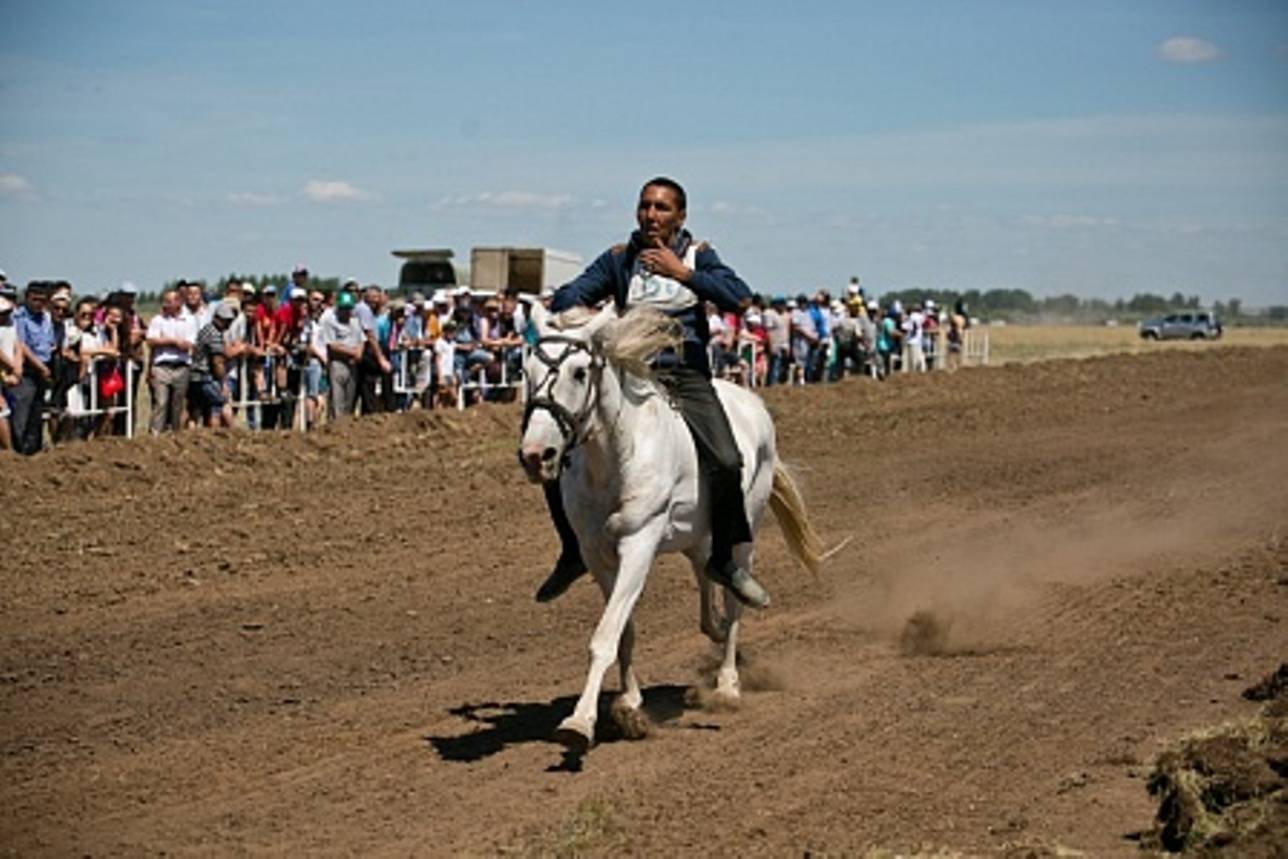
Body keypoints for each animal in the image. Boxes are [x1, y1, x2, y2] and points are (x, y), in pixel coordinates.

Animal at [517, 302, 829, 752]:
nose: (535, 454)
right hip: (694, 535)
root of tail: (752, 402)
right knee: (706, 571)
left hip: (744, 531)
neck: (616, 456)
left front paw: (579, 721)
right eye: (525, 369)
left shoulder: (638, 544)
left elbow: (605, 635)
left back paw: (727, 683)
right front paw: (629, 703)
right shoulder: (596, 555)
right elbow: (623, 630)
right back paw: (712, 630)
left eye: (579, 372)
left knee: (734, 593)